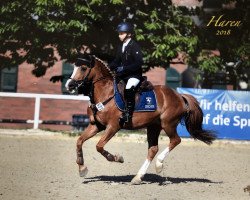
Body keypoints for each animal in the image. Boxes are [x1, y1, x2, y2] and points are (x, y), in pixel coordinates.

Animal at [65, 54, 216, 184]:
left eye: (83, 68)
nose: (69, 85)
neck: (105, 93)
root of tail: (179, 96)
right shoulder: (96, 125)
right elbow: (79, 141)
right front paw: (82, 168)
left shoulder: (113, 126)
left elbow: (99, 146)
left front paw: (117, 158)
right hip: (154, 126)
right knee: (153, 149)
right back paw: (138, 177)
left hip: (168, 124)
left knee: (175, 140)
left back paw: (159, 164)